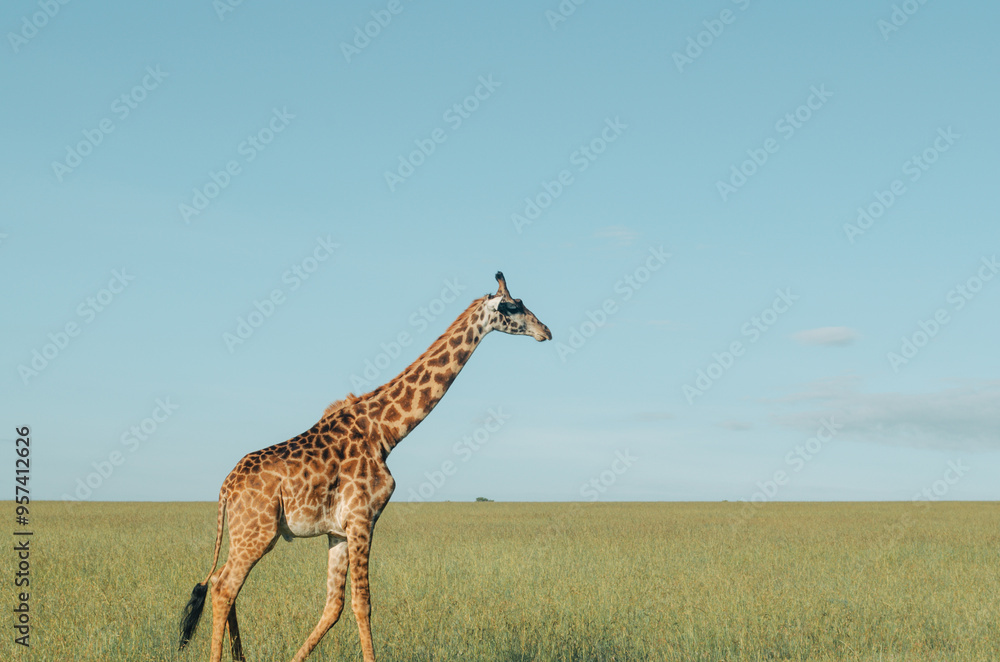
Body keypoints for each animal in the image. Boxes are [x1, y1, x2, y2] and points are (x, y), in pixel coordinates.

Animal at [178, 272, 551, 662]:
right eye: (512, 306)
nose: (546, 331)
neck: (385, 433)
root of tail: (225, 488)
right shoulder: (362, 519)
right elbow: (362, 603)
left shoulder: (339, 530)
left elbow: (334, 605)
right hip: (257, 532)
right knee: (223, 586)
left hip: (248, 533)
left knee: (223, 583)